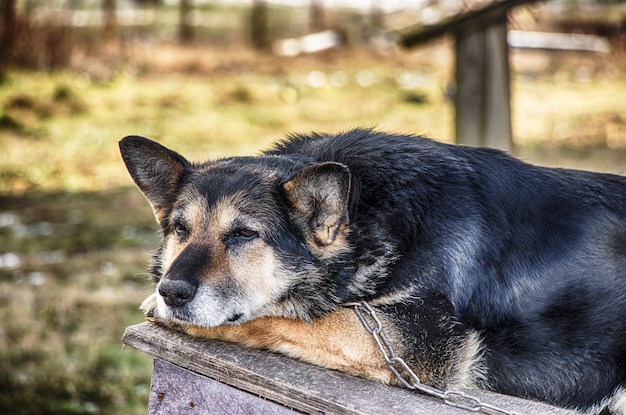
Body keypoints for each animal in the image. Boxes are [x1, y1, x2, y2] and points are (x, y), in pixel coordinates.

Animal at [119, 129, 624, 412]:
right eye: (180, 229)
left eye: (243, 235)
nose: (172, 291)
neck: (365, 214)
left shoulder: (415, 338)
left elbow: (286, 319)